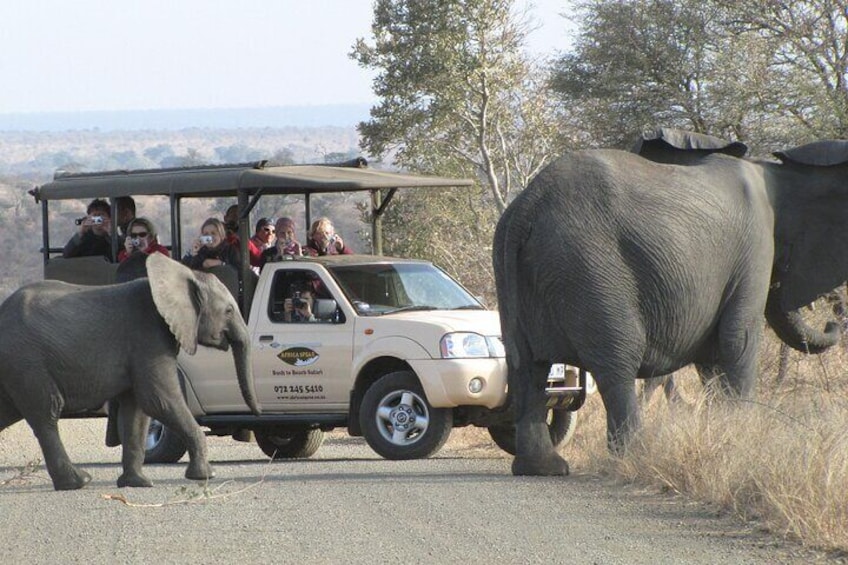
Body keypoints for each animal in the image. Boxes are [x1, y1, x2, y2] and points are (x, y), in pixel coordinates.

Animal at [0, 253, 262, 486]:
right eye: (228, 311)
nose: (258, 415)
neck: (181, 274)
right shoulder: (148, 338)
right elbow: (159, 400)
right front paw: (205, 476)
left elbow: (136, 412)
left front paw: (137, 483)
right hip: (26, 361)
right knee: (47, 414)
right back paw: (78, 481)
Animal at [494, 137, 848, 476]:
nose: (832, 318)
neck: (775, 174)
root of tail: (528, 205)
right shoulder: (756, 250)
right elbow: (738, 341)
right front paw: (741, 443)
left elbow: (712, 358)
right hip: (589, 269)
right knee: (616, 361)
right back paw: (634, 457)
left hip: (518, 267)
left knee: (527, 366)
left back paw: (543, 469)